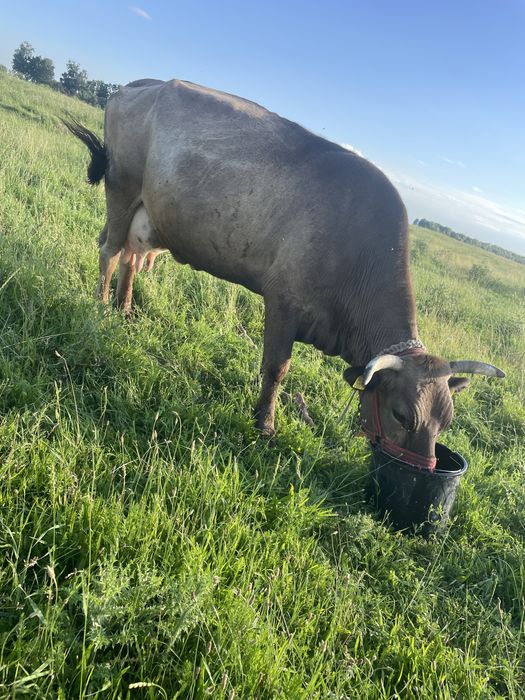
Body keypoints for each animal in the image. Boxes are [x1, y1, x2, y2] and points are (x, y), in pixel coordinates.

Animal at [65, 78, 504, 467]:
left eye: (445, 421)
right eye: (402, 415)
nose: (426, 471)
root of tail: (142, 84)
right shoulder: (283, 301)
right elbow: (276, 368)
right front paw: (265, 424)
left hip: (148, 217)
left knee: (130, 258)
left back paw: (124, 311)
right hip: (121, 188)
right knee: (109, 252)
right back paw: (100, 308)